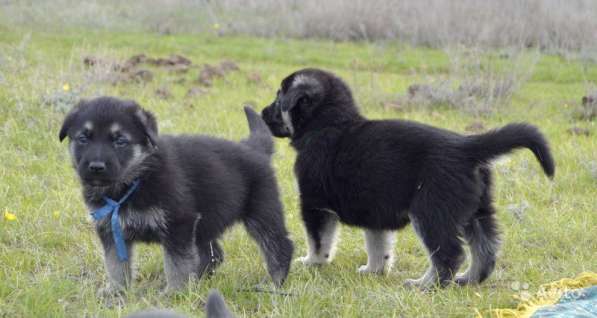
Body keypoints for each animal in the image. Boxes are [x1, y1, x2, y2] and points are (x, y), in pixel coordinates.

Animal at [59, 96, 292, 294]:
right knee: (213, 255)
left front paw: (175, 293)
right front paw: (116, 291)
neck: (136, 179)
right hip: (206, 221)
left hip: (262, 211)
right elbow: (115, 263)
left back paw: (275, 283)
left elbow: (177, 263)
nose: (96, 167)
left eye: (120, 141)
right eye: (83, 138)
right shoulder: (110, 228)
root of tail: (253, 147)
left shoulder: (179, 223)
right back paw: (197, 281)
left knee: (278, 245)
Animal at [262, 68, 556, 290]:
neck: (329, 122)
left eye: (278, 98)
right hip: (477, 210)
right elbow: (378, 246)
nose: (263, 113)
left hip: (431, 211)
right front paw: (374, 270)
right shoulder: (374, 211)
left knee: (449, 254)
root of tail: (467, 147)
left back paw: (426, 285)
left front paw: (312, 263)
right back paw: (469, 280)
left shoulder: (314, 203)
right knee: (486, 247)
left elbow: (319, 241)